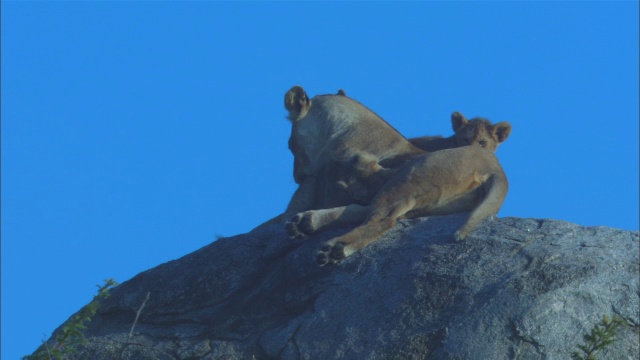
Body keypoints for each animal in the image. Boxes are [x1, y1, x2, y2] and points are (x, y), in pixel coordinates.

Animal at [280, 86, 510, 266]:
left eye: (289, 145)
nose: (297, 176)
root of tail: (497, 169)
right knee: (368, 212)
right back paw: (305, 222)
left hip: (407, 180)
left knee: (382, 221)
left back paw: (334, 246)